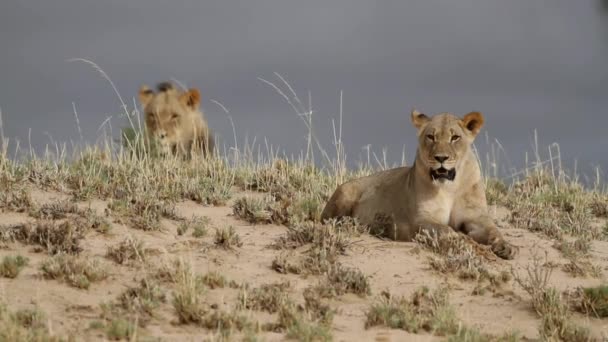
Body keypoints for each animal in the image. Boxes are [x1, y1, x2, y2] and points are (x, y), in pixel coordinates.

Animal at [320, 109, 516, 260]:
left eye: (455, 137)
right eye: (431, 136)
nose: (441, 158)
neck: (449, 187)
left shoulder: (475, 217)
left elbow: (493, 230)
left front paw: (506, 247)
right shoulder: (421, 219)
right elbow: (447, 230)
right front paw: (468, 244)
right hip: (345, 192)